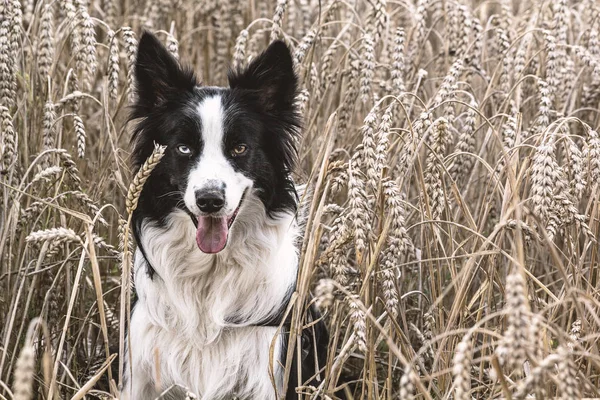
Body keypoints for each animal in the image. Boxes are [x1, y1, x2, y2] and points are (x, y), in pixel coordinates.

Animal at [121, 32, 328, 400]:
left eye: (240, 148)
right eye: (184, 148)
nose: (210, 200)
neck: (209, 274)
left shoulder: (270, 368)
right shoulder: (141, 369)